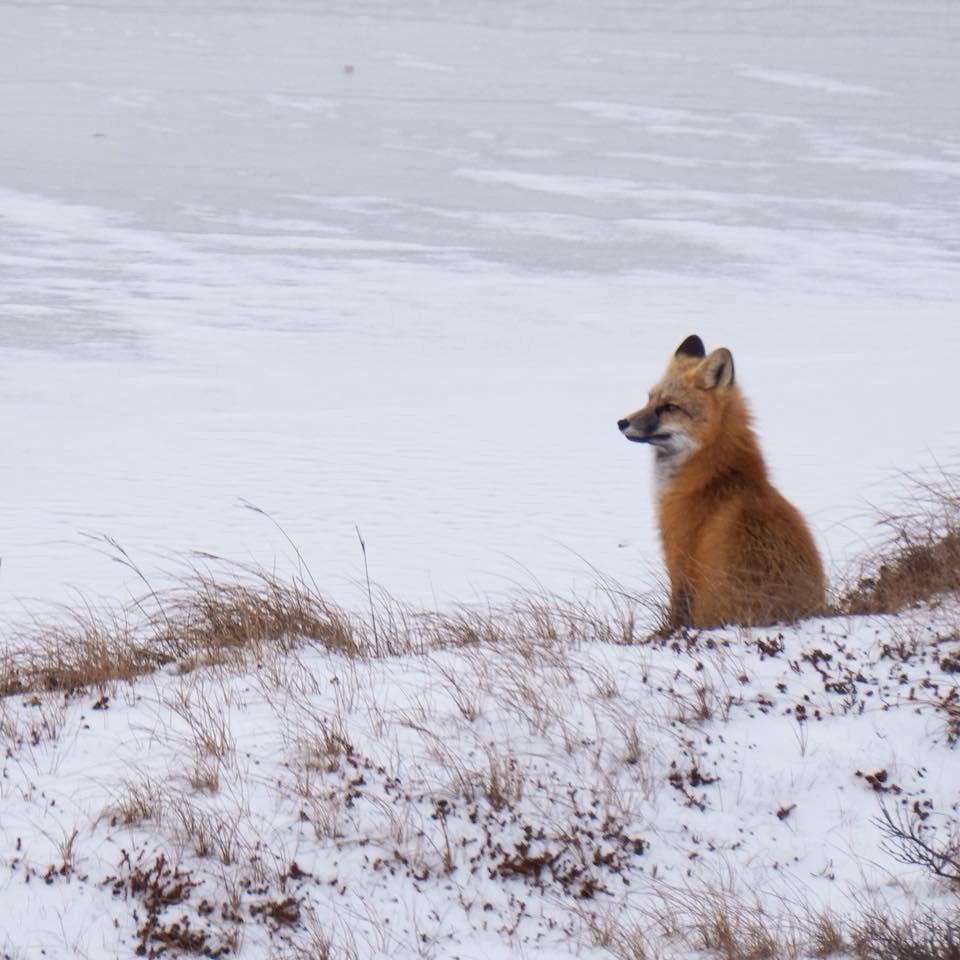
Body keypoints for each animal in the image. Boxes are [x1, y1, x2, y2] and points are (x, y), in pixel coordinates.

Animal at [624, 338, 824, 632]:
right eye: (650, 399)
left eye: (670, 407)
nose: (621, 422)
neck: (714, 475)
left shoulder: (679, 562)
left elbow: (676, 617)